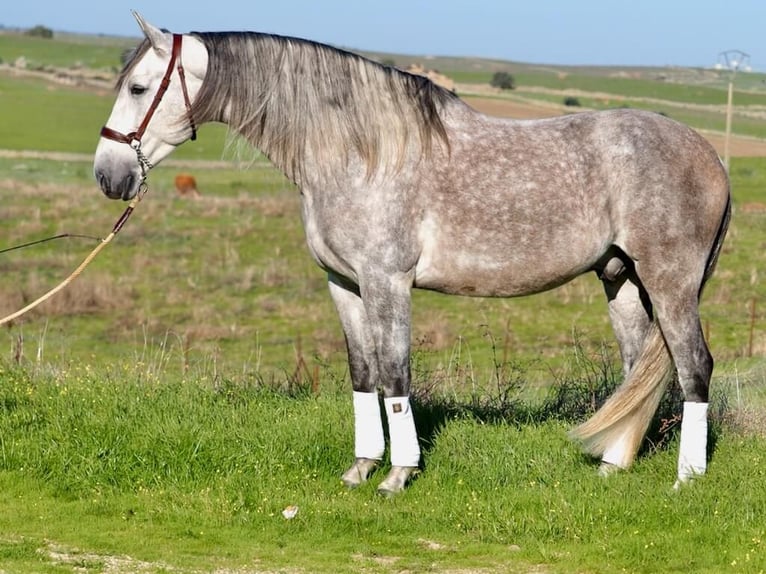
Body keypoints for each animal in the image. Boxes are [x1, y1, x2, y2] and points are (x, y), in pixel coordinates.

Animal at [94, 12, 731, 495]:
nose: (109, 175)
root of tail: (712, 156)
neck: (358, 152)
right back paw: (612, 464)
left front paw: (398, 474)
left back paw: (687, 479)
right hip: (620, 278)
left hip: (670, 282)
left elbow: (395, 374)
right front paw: (360, 468)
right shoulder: (344, 285)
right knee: (638, 370)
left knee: (693, 366)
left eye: (138, 88)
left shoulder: (387, 282)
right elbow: (363, 373)